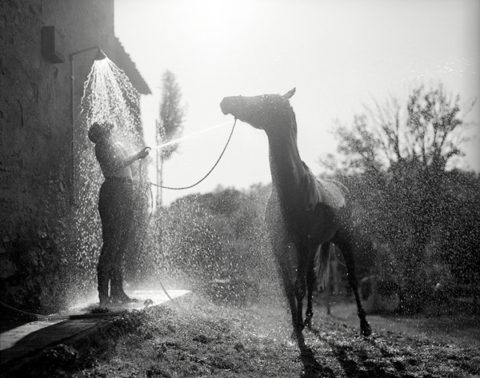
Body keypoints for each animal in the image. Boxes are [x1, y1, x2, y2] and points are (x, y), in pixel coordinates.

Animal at [220, 88, 372, 352]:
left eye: (263, 99)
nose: (225, 101)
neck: (293, 189)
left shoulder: (303, 243)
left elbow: (299, 285)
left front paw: (298, 332)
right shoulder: (280, 245)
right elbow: (289, 286)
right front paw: (295, 328)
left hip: (343, 240)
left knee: (352, 279)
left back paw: (364, 326)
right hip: (316, 245)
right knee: (312, 279)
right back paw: (308, 319)